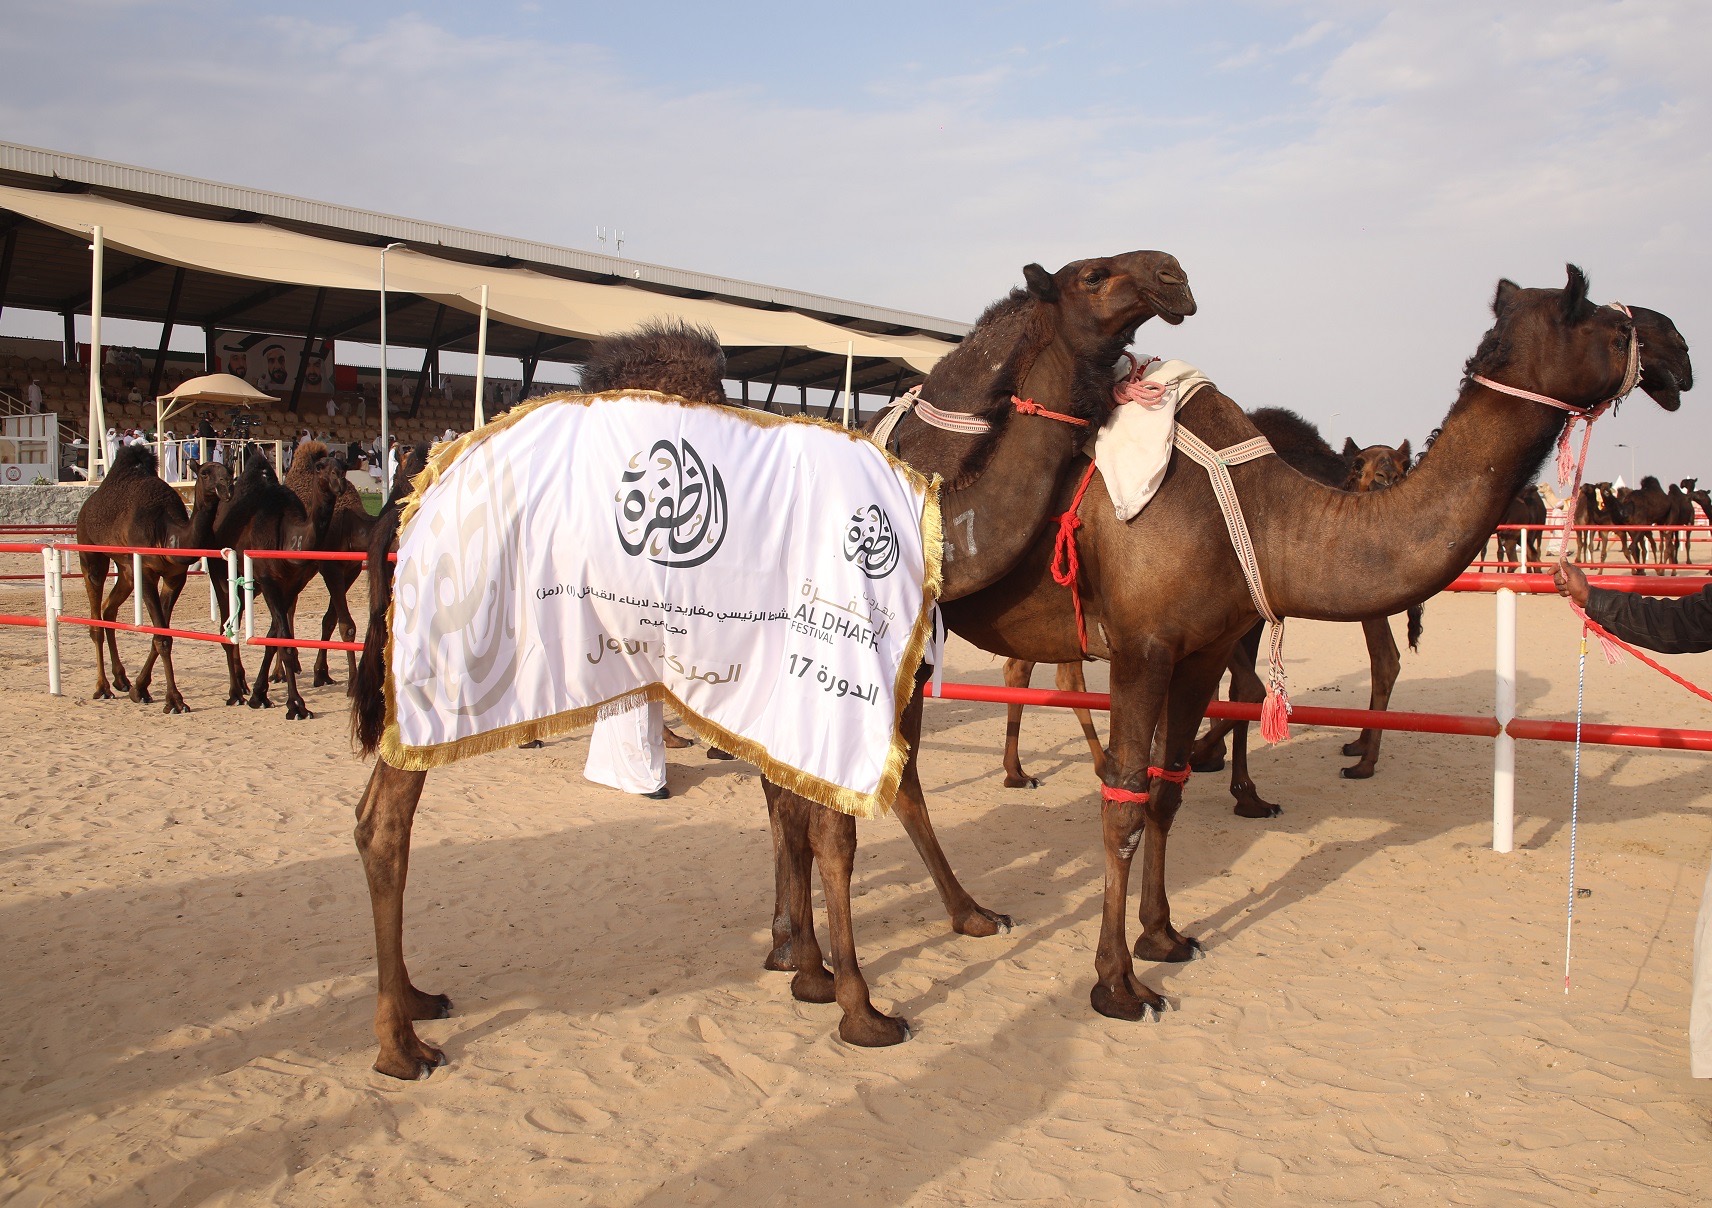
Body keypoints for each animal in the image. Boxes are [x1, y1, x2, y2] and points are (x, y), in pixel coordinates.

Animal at [75, 448, 234, 715]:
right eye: (204, 473)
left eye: (229, 470)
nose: (226, 487)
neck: (167, 534)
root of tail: (86, 507)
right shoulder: (146, 572)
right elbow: (162, 637)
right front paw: (175, 701)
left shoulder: (174, 576)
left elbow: (161, 632)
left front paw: (139, 689)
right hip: (90, 554)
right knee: (95, 618)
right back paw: (103, 687)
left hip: (126, 571)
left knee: (109, 610)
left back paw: (121, 680)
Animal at [344, 251, 1205, 1074]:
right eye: (1094, 275)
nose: (1174, 275)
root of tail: (408, 498)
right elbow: (833, 829)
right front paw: (859, 1004)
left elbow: (803, 809)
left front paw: (809, 963)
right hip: (443, 655)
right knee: (385, 820)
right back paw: (398, 1045)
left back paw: (416, 1001)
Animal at [770, 263, 1677, 1033]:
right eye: (1598, 312)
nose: (1677, 346)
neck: (1262, 511)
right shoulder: (1142, 646)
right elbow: (1123, 804)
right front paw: (1117, 984)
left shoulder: (1201, 648)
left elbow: (1167, 794)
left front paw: (1165, 935)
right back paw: (851, 993)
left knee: (847, 781)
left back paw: (865, 943)